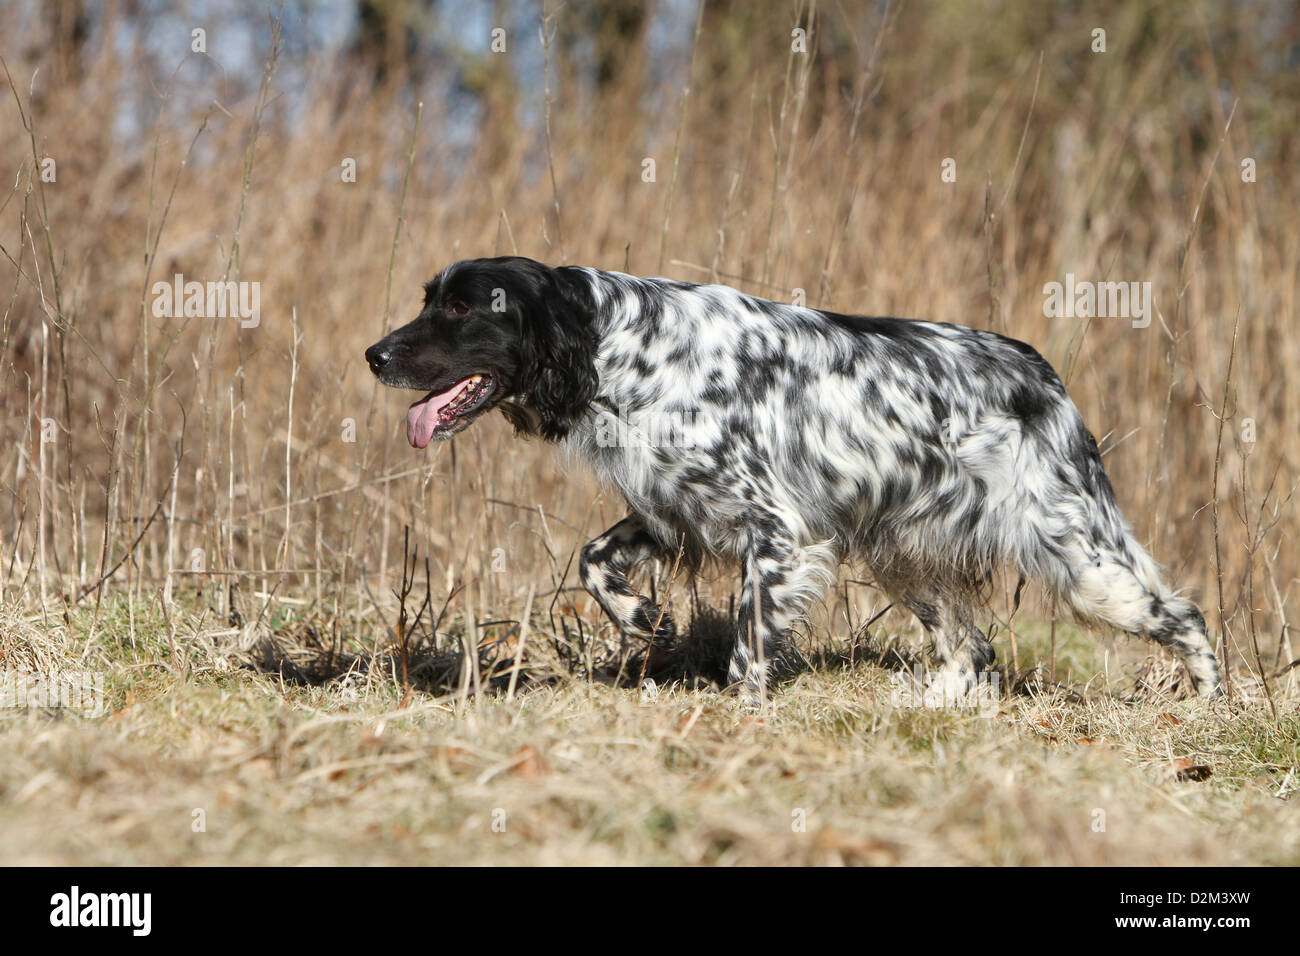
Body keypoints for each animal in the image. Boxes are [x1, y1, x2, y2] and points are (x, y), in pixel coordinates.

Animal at [364, 257, 1216, 707]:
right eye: (429, 301)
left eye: (462, 308)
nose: (374, 354)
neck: (622, 346)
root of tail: (1042, 371)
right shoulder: (671, 510)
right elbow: (593, 561)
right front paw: (646, 621)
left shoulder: (777, 534)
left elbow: (748, 649)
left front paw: (742, 715)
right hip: (905, 556)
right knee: (970, 647)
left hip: (1082, 558)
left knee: (1187, 616)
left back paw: (1210, 706)